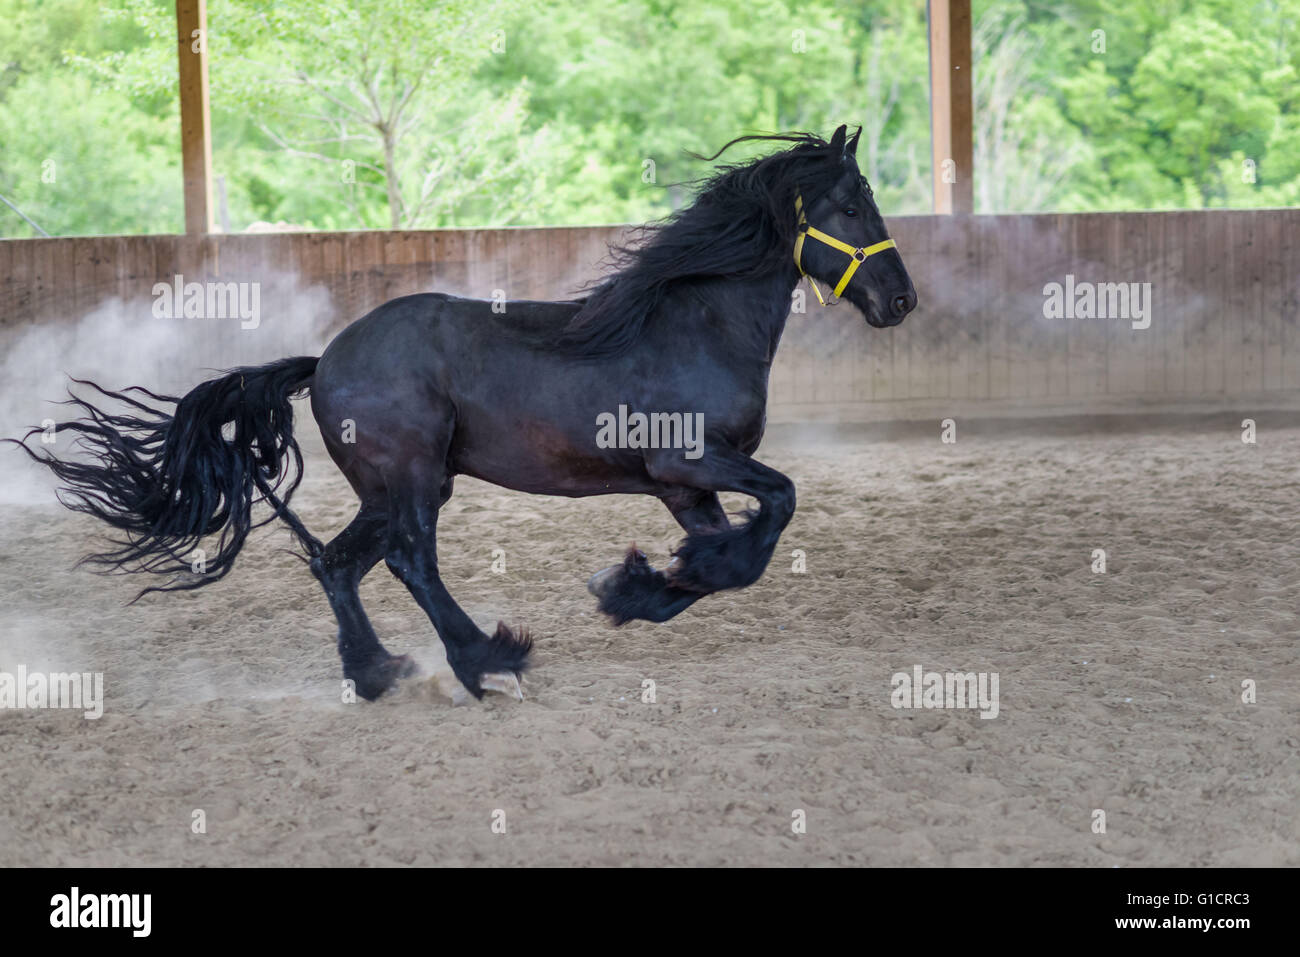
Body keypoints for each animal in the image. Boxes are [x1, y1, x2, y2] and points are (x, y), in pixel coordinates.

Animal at [11, 124, 917, 702]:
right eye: (850, 204)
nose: (901, 300)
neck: (693, 324)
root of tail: (326, 359)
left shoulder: (683, 488)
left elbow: (731, 559)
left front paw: (638, 588)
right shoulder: (687, 463)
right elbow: (778, 508)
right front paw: (638, 583)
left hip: (401, 486)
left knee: (337, 563)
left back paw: (379, 673)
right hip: (411, 479)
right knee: (410, 563)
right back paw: (486, 661)